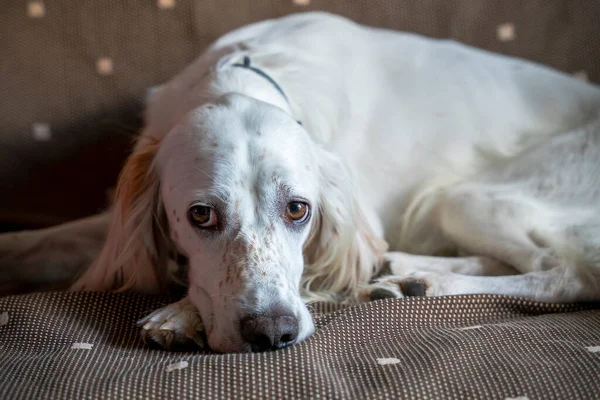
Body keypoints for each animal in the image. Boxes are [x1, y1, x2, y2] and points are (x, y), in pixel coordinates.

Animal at [1, 10, 600, 352]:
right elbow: (23, 244)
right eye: (201, 215)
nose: (272, 334)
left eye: (298, 210)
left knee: (567, 274)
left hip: (465, 199)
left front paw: (178, 313)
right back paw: (409, 277)